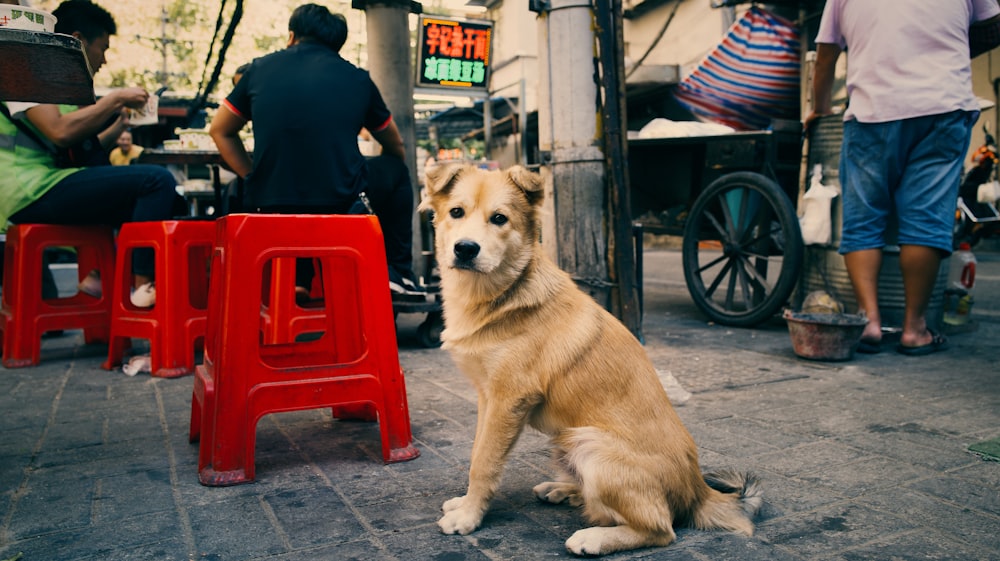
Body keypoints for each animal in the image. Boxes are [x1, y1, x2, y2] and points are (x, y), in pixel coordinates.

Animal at [420, 163, 756, 556]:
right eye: (456, 212)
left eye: (499, 218)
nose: (465, 249)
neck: (504, 294)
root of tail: (698, 490)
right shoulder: (487, 399)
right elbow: (477, 452)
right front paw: (465, 504)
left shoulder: (508, 400)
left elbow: (484, 463)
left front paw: (469, 516)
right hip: (567, 441)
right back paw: (563, 490)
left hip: (591, 444)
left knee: (660, 528)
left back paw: (594, 538)